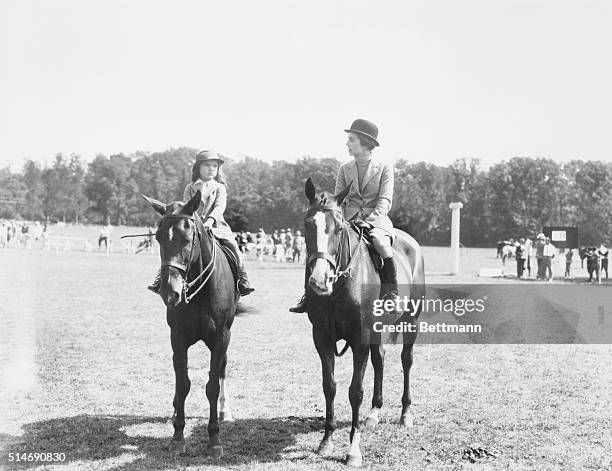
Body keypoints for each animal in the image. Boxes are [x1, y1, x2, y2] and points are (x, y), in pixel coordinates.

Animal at [143, 191, 239, 458]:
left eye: (187, 238)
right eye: (158, 238)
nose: (170, 292)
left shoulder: (221, 338)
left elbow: (212, 385)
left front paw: (214, 440)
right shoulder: (178, 338)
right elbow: (183, 383)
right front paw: (178, 436)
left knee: (222, 370)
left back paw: (225, 411)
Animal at [302, 178, 426, 468]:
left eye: (338, 229)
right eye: (307, 225)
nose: (319, 281)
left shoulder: (360, 337)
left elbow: (355, 391)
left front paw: (353, 449)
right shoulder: (321, 337)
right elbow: (330, 386)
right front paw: (326, 441)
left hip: (411, 322)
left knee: (406, 361)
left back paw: (405, 414)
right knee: (379, 359)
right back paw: (374, 413)